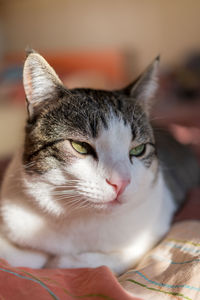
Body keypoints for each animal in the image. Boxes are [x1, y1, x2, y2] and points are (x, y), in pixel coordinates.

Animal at [0, 49, 198, 276]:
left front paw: (58, 261)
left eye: (138, 150)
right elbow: (18, 254)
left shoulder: (151, 231)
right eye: (80, 146)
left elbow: (92, 261)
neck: (76, 215)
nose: (121, 183)